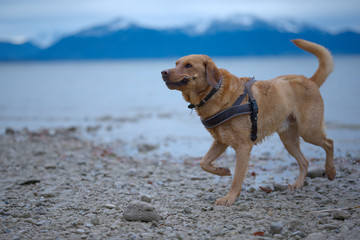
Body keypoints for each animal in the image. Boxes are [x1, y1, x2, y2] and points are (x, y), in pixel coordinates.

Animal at [162, 39, 336, 206]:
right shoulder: (220, 141)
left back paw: (331, 171)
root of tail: (309, 80)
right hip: (288, 139)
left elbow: (237, 178)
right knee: (304, 162)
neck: (214, 92)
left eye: (188, 65)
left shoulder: (243, 146)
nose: (163, 72)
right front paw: (222, 170)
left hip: (309, 131)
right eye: (176, 63)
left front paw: (229, 198)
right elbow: (203, 162)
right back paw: (299, 184)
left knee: (329, 143)